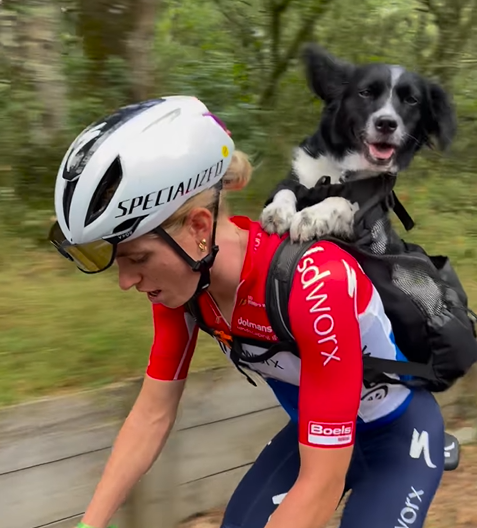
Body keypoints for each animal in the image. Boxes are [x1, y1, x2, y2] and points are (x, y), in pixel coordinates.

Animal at [260, 44, 454, 242]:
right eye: (366, 93)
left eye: (411, 100)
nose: (386, 123)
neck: (344, 170)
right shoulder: (300, 175)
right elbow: (286, 189)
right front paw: (277, 212)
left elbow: (340, 200)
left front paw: (311, 217)